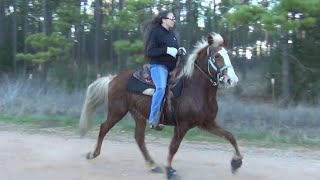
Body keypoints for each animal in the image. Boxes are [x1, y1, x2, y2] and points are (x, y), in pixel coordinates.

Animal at [79, 32, 242, 179]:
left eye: (229, 54)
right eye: (217, 56)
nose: (232, 80)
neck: (195, 89)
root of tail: (113, 79)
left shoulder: (206, 123)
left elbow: (230, 136)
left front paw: (236, 162)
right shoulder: (182, 125)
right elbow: (173, 147)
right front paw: (169, 170)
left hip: (138, 115)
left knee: (139, 138)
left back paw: (152, 164)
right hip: (117, 111)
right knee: (104, 128)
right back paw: (93, 154)